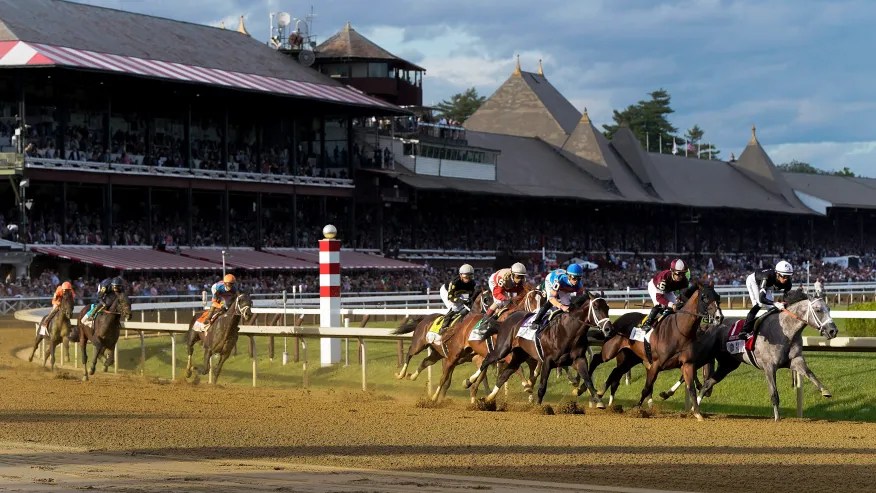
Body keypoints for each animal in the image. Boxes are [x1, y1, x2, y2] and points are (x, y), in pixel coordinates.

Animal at [584, 280, 724, 418]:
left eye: (718, 297)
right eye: (704, 297)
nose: (719, 317)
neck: (680, 331)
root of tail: (614, 324)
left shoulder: (687, 364)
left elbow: (691, 388)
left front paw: (697, 413)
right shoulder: (656, 364)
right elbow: (647, 388)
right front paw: (637, 409)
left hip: (630, 358)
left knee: (615, 372)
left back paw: (600, 395)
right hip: (610, 351)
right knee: (597, 359)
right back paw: (589, 390)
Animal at [696, 288, 840, 418]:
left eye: (829, 309)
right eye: (818, 310)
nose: (833, 331)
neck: (785, 331)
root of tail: (710, 326)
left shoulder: (795, 360)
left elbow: (810, 373)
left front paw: (825, 391)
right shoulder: (769, 367)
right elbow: (774, 395)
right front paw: (777, 419)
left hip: (728, 365)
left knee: (707, 383)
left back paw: (696, 408)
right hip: (706, 355)